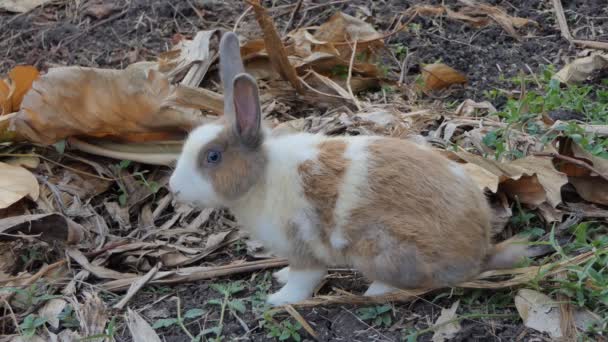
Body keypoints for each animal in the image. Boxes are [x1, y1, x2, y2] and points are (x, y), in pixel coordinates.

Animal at [167, 31, 528, 304]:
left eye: (213, 157)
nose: (174, 188)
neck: (262, 177)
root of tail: (479, 254)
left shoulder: (302, 248)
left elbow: (304, 279)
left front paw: (279, 300)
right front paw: (279, 276)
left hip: (383, 249)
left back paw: (374, 290)